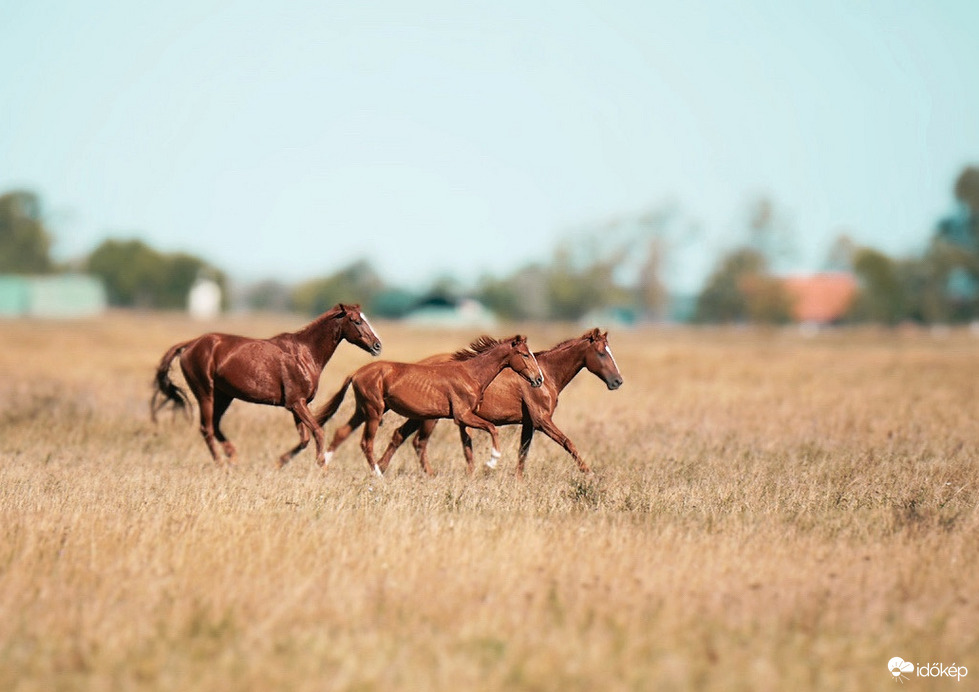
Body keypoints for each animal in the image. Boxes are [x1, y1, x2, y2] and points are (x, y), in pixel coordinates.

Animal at [152, 306, 382, 468]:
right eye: (356, 321)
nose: (377, 345)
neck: (305, 353)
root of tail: (190, 344)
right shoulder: (296, 403)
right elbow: (318, 432)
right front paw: (321, 465)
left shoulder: (297, 405)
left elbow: (305, 439)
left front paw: (279, 462)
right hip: (205, 393)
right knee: (206, 428)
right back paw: (221, 464)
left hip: (224, 396)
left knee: (215, 426)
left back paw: (233, 458)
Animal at [314, 336, 544, 476]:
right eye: (525, 354)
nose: (538, 379)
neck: (471, 374)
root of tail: (356, 372)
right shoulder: (462, 416)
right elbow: (492, 428)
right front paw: (492, 461)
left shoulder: (464, 417)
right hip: (374, 411)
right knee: (366, 443)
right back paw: (377, 474)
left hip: (364, 410)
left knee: (342, 433)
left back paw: (324, 466)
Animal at [380, 328, 620, 476]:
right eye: (601, 353)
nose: (618, 381)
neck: (547, 374)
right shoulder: (542, 421)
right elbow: (568, 442)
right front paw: (590, 474)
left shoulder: (529, 424)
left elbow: (523, 452)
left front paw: (518, 481)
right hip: (430, 417)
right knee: (418, 442)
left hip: (419, 415)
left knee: (400, 436)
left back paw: (381, 468)